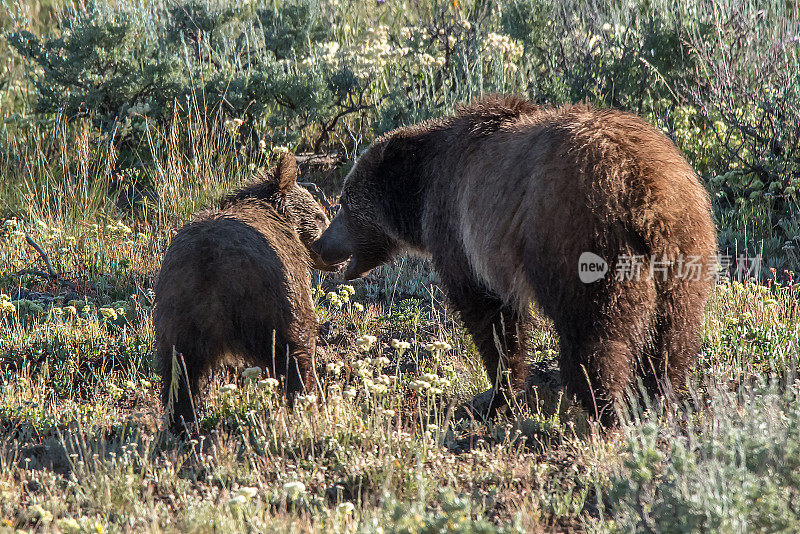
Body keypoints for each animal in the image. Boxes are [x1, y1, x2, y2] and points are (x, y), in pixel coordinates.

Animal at [155, 154, 332, 436]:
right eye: (320, 216)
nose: (338, 255)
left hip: (176, 312)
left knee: (179, 374)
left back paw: (181, 425)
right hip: (271, 299)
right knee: (295, 349)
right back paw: (306, 404)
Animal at [314, 95, 720, 422]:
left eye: (345, 201)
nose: (320, 245)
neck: (422, 190)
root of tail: (645, 195)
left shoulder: (459, 228)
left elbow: (490, 316)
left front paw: (498, 395)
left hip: (581, 239)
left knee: (594, 333)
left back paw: (603, 407)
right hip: (687, 251)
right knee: (673, 335)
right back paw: (660, 398)